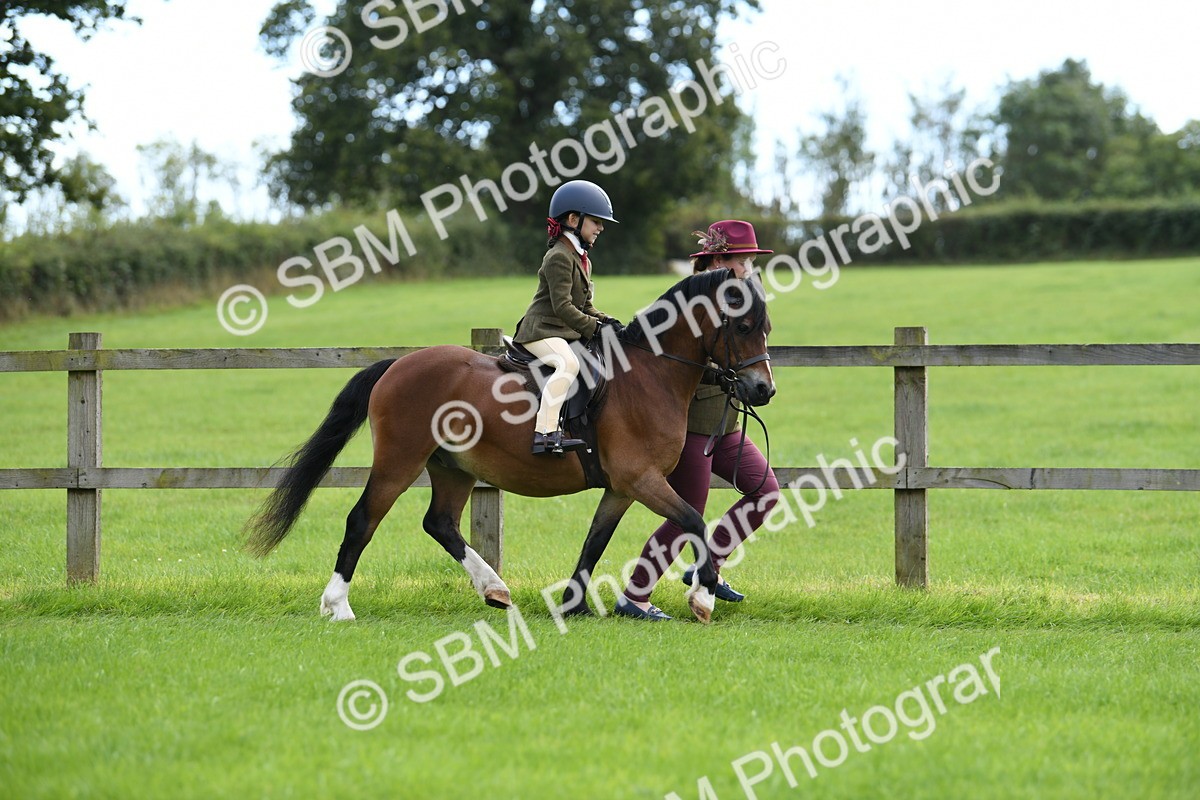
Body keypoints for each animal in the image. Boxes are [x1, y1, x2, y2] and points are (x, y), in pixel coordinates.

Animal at [244, 268, 774, 623]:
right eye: (743, 326)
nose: (762, 390)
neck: (649, 372)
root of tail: (398, 364)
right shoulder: (640, 479)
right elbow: (695, 523)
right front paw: (702, 599)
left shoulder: (622, 488)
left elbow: (595, 542)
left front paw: (572, 604)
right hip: (400, 461)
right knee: (362, 521)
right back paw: (338, 606)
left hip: (453, 467)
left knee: (440, 523)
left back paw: (495, 589)